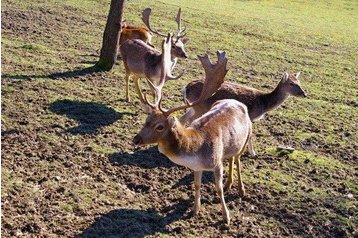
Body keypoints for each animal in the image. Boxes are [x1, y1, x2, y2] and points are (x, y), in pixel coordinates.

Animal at [133, 45, 253, 224]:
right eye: (146, 120)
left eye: (160, 126)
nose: (136, 139)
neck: (195, 147)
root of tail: (239, 103)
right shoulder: (197, 167)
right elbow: (197, 185)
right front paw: (195, 210)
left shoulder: (216, 162)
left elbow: (218, 189)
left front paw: (226, 217)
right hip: (231, 145)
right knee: (231, 158)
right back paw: (229, 184)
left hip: (245, 139)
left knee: (238, 159)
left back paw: (241, 189)